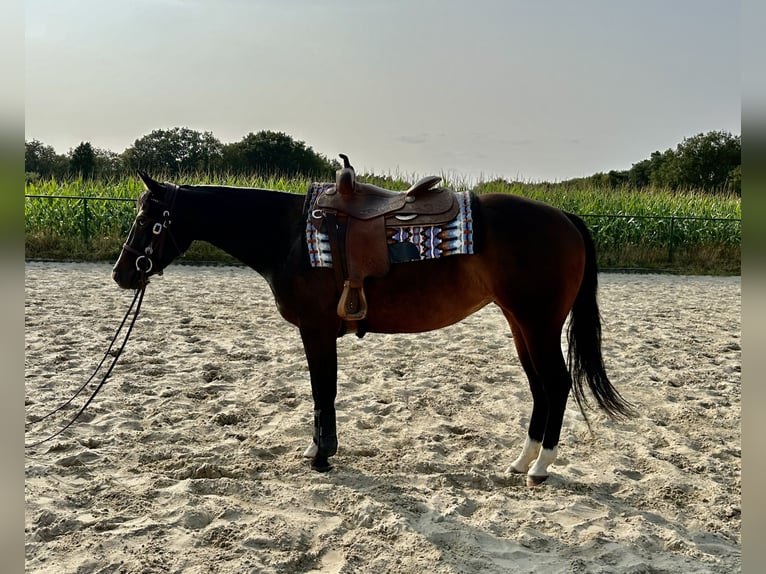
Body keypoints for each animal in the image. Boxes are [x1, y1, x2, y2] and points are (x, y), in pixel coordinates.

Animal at [109, 165, 636, 486]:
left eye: (148, 219)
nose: (122, 273)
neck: (288, 235)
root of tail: (564, 217)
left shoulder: (316, 330)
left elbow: (323, 390)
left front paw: (321, 454)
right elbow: (323, 391)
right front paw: (320, 450)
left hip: (538, 322)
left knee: (558, 383)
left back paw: (541, 467)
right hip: (519, 323)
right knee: (540, 386)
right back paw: (521, 459)